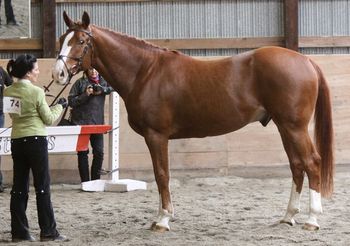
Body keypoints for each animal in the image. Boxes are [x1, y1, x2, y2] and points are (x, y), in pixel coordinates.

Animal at [52, 11, 334, 231]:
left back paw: (312, 219)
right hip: (284, 127)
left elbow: (162, 174)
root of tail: (305, 60)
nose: (59, 73)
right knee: (297, 165)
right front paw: (161, 216)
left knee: (312, 163)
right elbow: (160, 175)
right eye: (62, 40)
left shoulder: (156, 136)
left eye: (81, 41)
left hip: (294, 127)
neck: (145, 72)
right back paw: (288, 216)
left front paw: (163, 220)